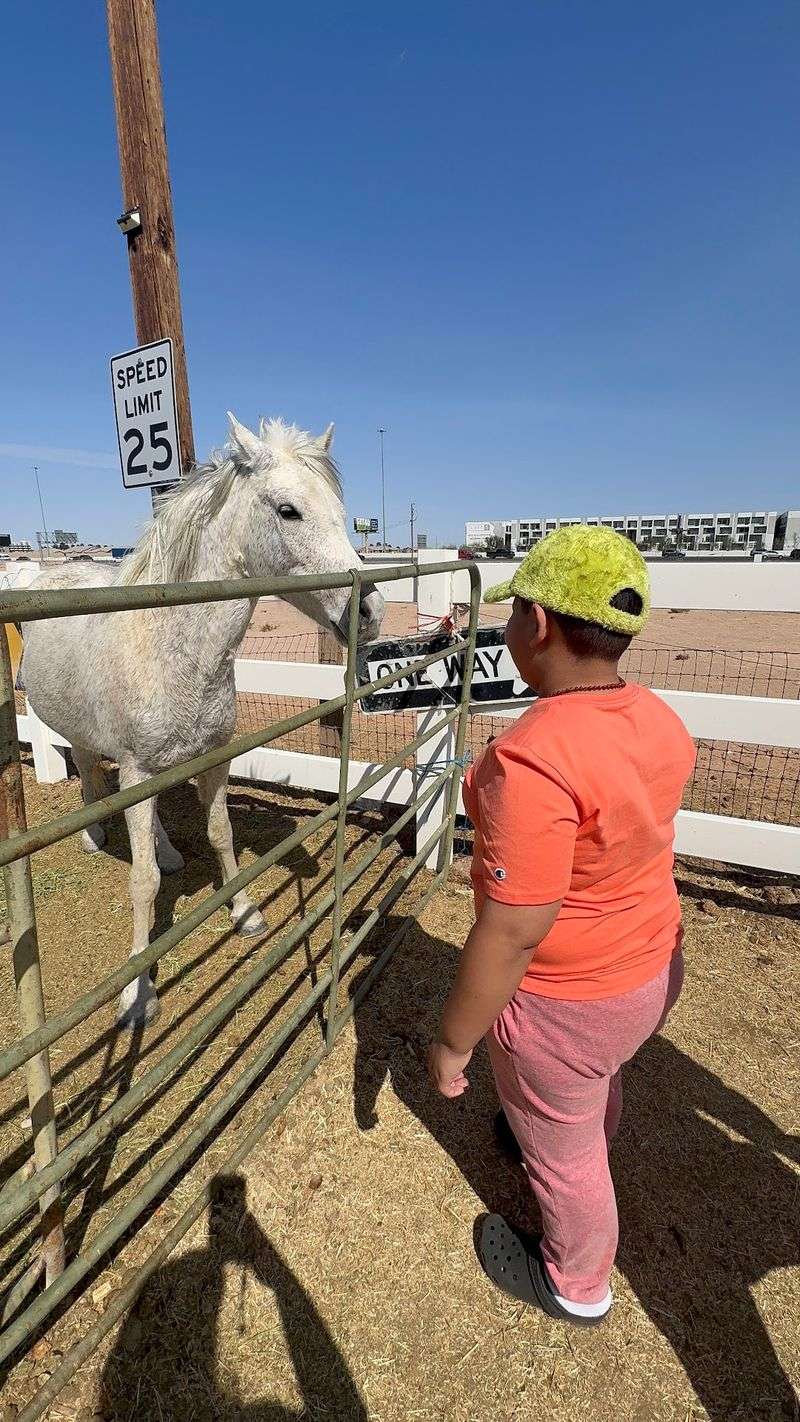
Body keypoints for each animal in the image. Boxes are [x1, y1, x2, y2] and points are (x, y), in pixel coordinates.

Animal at [21, 414, 385, 1028]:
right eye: (289, 510)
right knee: (91, 772)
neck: (172, 642)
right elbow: (141, 881)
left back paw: (168, 852)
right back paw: (95, 836)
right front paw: (137, 991)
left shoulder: (212, 759)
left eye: (342, 511)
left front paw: (244, 911)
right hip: (86, 738)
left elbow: (221, 833)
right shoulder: (137, 771)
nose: (369, 611)